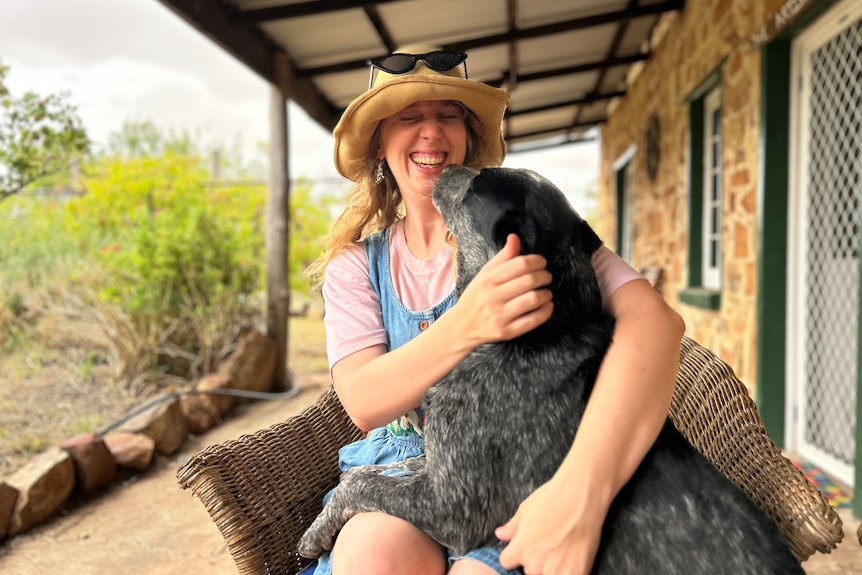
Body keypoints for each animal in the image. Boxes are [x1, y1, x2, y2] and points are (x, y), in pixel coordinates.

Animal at [298, 164, 804, 572]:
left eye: (479, 180)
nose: (442, 169)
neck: (539, 331)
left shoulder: (451, 508)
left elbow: (363, 486)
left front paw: (317, 530)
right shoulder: (440, 466)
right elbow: (380, 471)